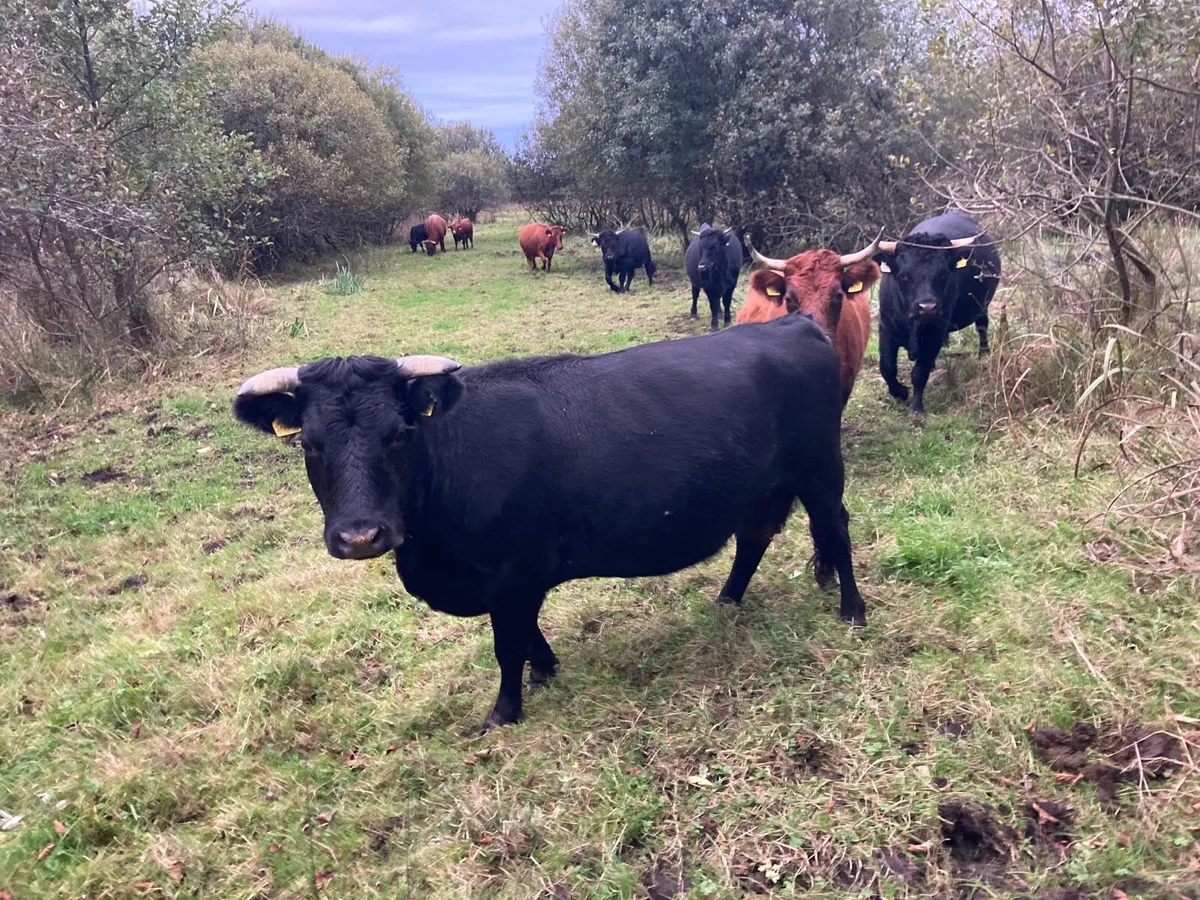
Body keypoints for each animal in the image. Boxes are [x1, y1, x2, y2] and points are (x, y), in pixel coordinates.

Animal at [232, 316, 865, 733]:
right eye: (309, 444)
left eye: (400, 432)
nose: (361, 536)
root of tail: (792, 322)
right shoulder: (512, 578)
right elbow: (526, 632)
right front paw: (546, 671)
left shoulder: (511, 570)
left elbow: (506, 644)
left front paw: (504, 712)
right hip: (767, 483)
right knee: (755, 538)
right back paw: (728, 601)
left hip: (819, 469)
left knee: (835, 528)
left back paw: (852, 611)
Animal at [874, 212, 1001, 415]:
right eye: (903, 276)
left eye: (943, 274)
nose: (927, 307)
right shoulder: (886, 329)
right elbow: (887, 368)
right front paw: (900, 392)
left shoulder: (935, 332)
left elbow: (919, 372)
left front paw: (916, 407)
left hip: (982, 305)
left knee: (982, 327)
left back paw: (984, 354)